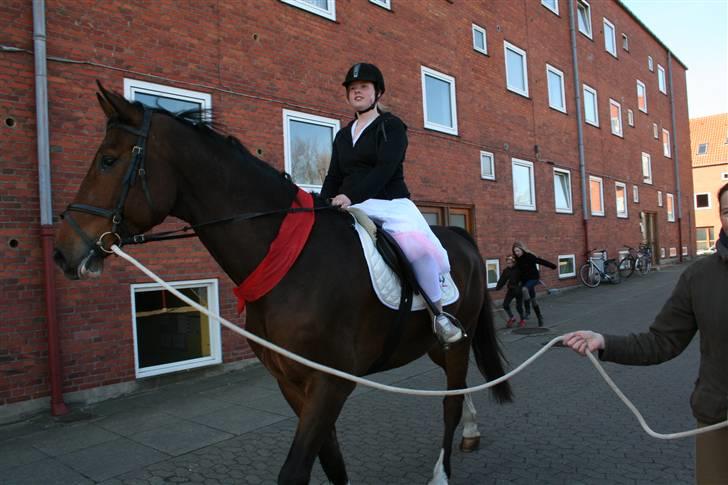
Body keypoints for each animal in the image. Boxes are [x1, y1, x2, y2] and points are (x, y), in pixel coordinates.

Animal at [54, 84, 512, 484]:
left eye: (108, 160)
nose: (63, 252)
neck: (292, 260)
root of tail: (463, 239)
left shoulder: (329, 383)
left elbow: (295, 470)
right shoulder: (292, 383)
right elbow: (331, 461)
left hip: (453, 341)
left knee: (450, 402)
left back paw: (442, 472)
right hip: (435, 345)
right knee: (459, 387)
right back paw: (471, 432)